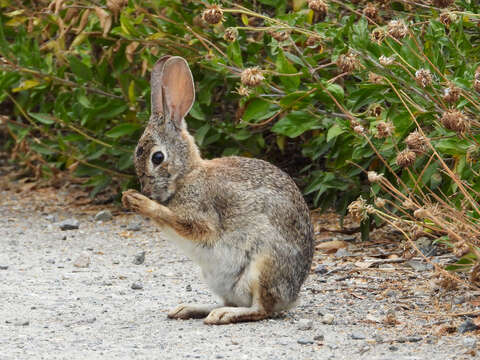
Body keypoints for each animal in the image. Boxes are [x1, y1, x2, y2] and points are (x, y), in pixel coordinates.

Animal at [122, 56, 314, 326]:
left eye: (157, 157)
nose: (146, 190)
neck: (187, 175)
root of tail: (292, 296)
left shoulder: (203, 216)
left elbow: (182, 223)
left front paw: (138, 201)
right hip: (217, 278)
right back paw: (189, 309)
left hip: (264, 266)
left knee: (261, 309)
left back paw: (223, 315)